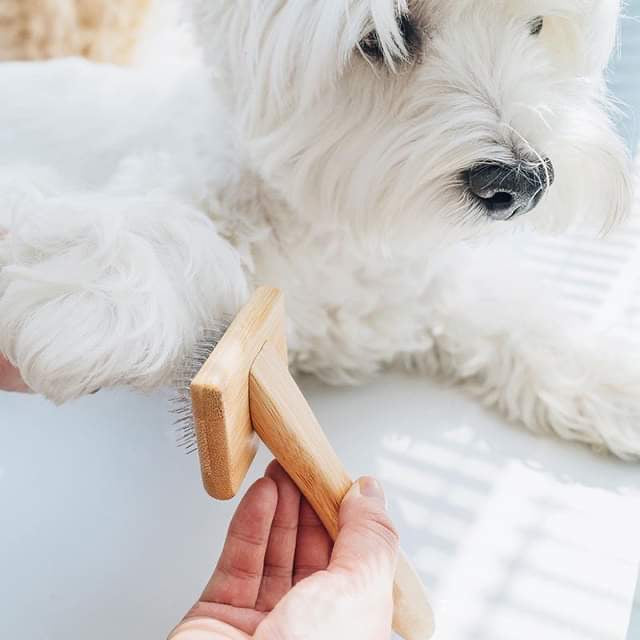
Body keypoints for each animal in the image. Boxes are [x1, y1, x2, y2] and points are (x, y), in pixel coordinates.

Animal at [1, 0, 640, 460]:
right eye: (387, 36)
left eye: (536, 27)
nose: (523, 183)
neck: (337, 220)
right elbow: (161, 225)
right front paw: (97, 307)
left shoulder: (427, 288)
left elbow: (516, 316)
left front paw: (612, 380)